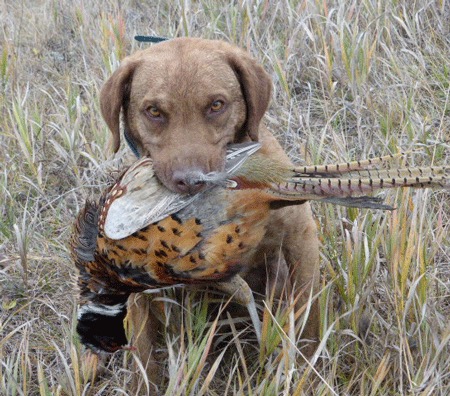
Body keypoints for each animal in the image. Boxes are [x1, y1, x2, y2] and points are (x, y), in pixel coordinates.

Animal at [99, 38, 320, 384]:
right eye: (154, 111)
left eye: (217, 105)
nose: (191, 181)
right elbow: (143, 359)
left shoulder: (301, 238)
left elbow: (308, 319)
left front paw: (306, 375)